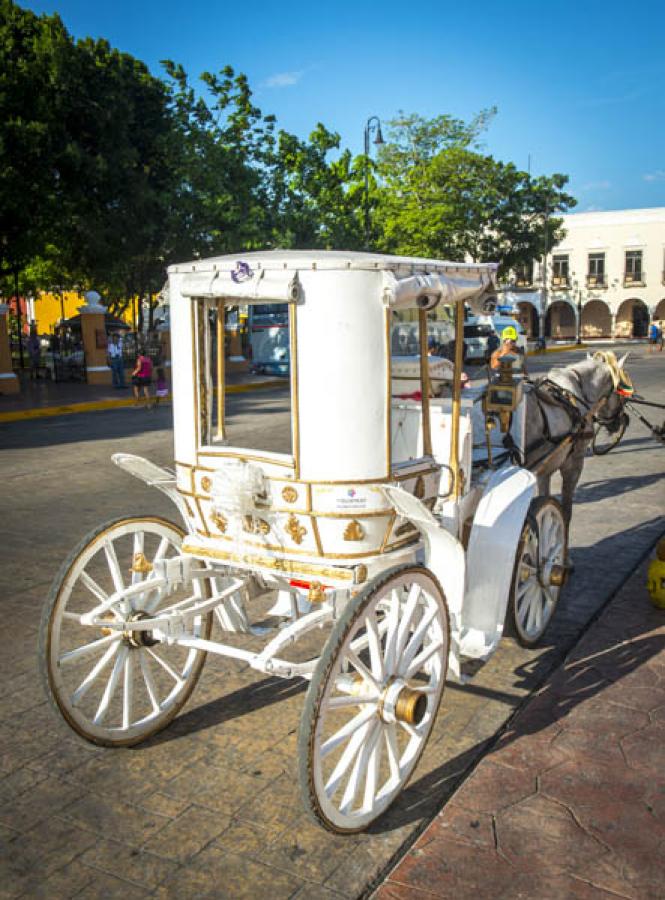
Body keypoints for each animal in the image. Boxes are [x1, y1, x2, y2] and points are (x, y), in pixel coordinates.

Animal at [524, 350, 628, 524]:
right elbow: (566, 510)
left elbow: (544, 498)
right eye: (621, 392)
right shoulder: (574, 461)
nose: (620, 422)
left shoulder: (544, 468)